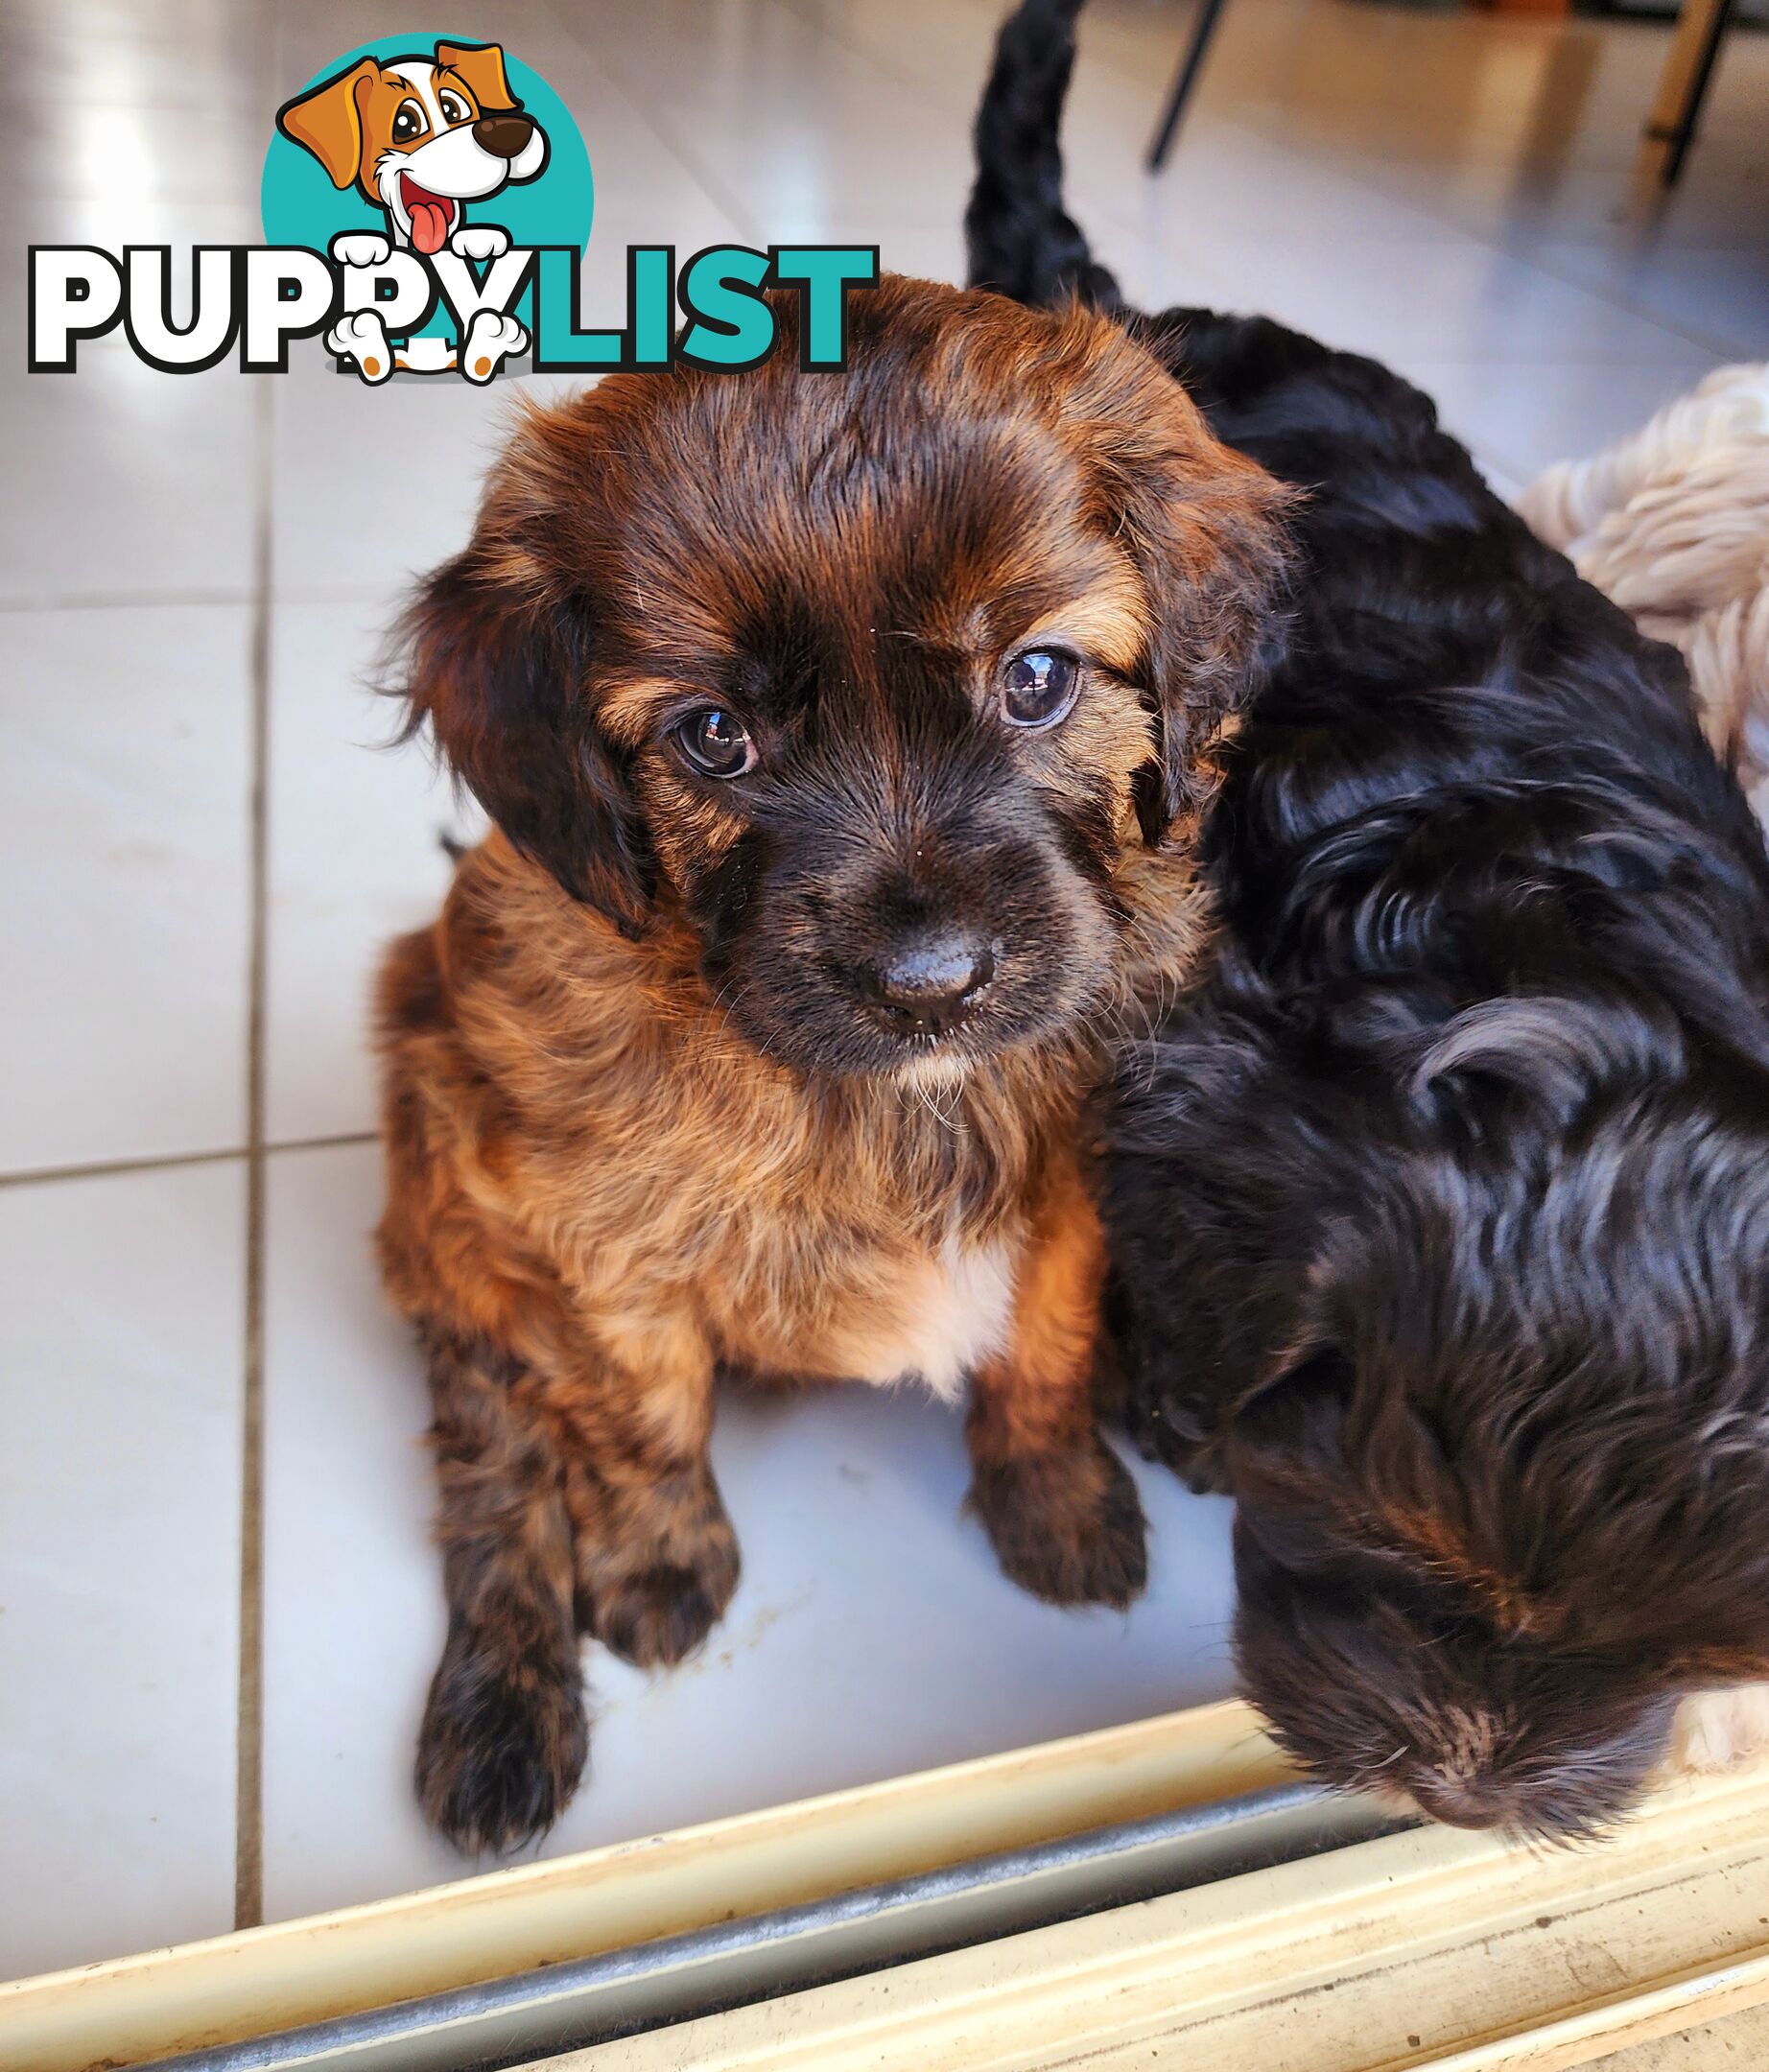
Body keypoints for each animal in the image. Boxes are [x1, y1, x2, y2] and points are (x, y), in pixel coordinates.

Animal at [376, 275, 1284, 1848]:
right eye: (715, 736)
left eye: (1035, 678)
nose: (929, 985)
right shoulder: (581, 1225)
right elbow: (634, 1407)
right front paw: (658, 1565)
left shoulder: (1076, 1177)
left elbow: (1041, 1342)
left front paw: (1056, 1499)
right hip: (444, 1180)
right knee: (497, 1464)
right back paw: (498, 1722)